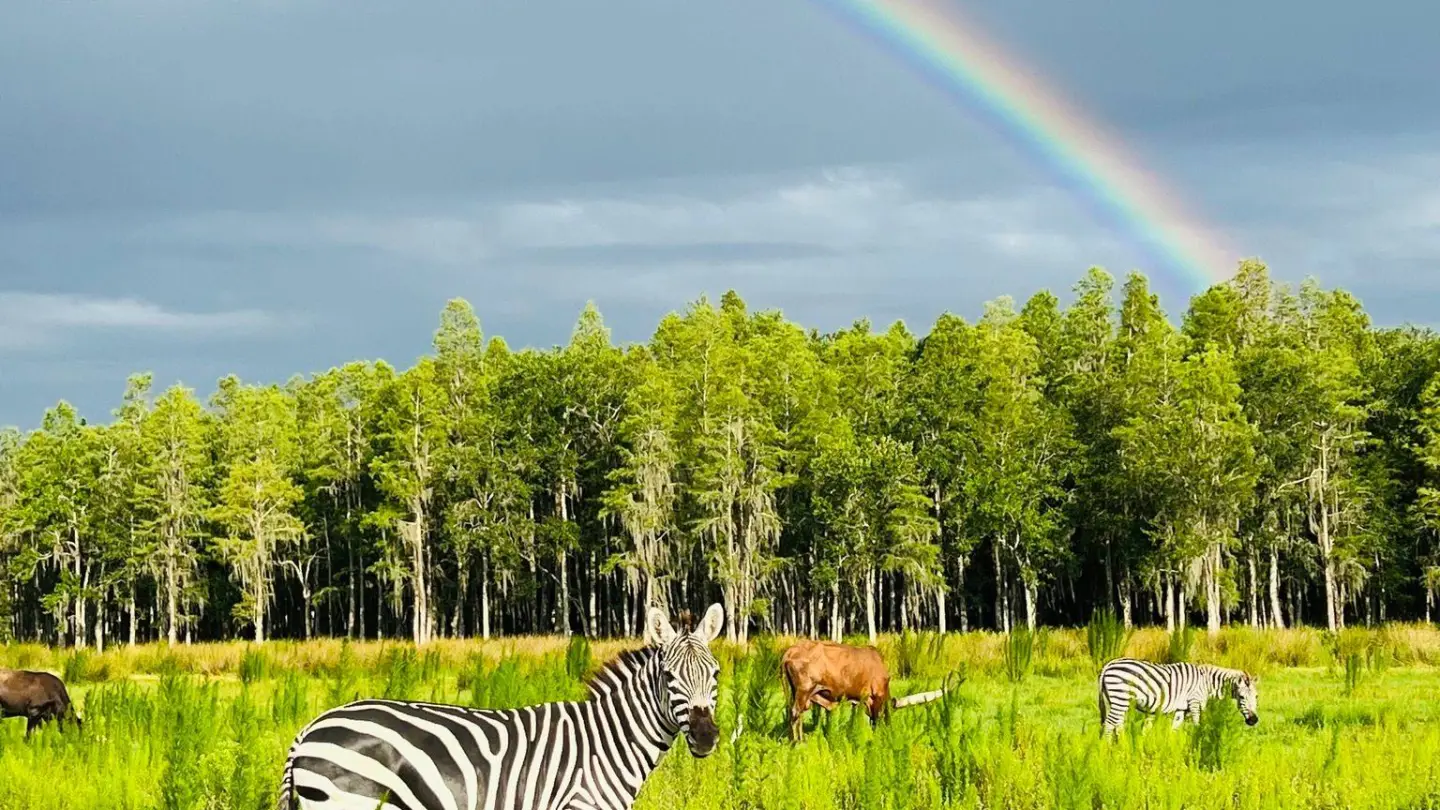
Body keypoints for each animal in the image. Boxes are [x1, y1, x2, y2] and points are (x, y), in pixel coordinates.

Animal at [274, 603, 726, 810]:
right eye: (668, 676)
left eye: (716, 674)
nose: (705, 737)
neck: (608, 742)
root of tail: (310, 727)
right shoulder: (581, 804)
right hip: (350, 800)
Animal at [1097, 657, 1260, 737]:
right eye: (1241, 697)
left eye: (1256, 697)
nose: (1253, 720)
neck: (1206, 682)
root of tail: (1109, 664)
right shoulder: (1194, 702)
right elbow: (1197, 725)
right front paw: (1197, 742)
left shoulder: (1181, 709)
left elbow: (1174, 729)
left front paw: (1172, 750)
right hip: (1120, 697)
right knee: (1110, 724)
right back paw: (1106, 751)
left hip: (1115, 700)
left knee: (1117, 724)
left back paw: (1122, 747)